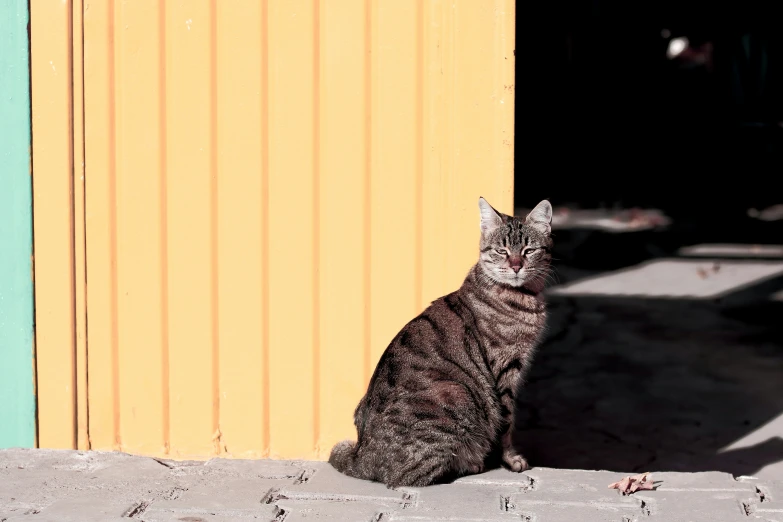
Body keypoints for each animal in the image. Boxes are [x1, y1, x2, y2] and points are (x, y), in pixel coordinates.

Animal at [328, 197, 556, 486]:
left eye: (528, 250)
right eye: (502, 251)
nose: (516, 266)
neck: (522, 296)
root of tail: (361, 458)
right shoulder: (505, 369)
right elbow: (506, 421)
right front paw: (510, 460)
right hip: (455, 392)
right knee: (408, 476)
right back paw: (471, 463)